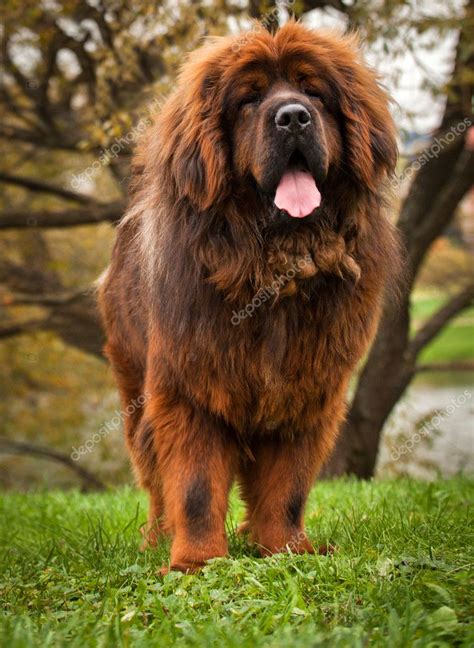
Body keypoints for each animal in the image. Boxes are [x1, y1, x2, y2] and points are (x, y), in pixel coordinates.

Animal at [99, 20, 400, 572]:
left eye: (313, 92)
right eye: (249, 99)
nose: (294, 117)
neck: (271, 270)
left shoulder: (308, 391)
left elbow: (288, 487)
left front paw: (286, 549)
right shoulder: (188, 390)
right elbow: (195, 487)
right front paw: (194, 563)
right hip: (133, 384)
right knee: (153, 478)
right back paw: (157, 538)